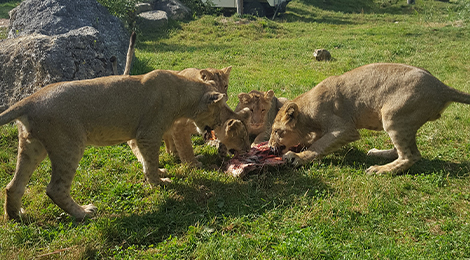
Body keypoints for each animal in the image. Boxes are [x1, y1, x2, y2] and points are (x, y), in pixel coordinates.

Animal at [0, 68, 235, 220]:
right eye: (219, 111)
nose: (219, 123)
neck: (182, 93)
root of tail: (29, 100)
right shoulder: (148, 134)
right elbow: (150, 162)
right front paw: (159, 183)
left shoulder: (140, 136)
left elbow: (146, 160)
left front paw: (158, 173)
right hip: (69, 145)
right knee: (55, 189)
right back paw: (83, 213)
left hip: (33, 146)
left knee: (13, 186)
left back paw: (17, 216)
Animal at [268, 63, 470, 175]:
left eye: (277, 131)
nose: (269, 146)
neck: (307, 112)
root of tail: (441, 87)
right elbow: (316, 141)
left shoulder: (345, 128)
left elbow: (319, 145)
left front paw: (296, 157)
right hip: (400, 120)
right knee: (403, 150)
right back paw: (376, 153)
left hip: (392, 115)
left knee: (411, 155)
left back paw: (380, 169)